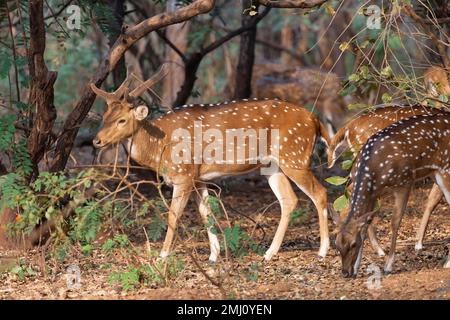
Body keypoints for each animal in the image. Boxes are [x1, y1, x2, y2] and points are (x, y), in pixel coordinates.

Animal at [90, 65, 330, 262]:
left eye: (121, 120)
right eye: (104, 116)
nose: (96, 140)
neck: (160, 147)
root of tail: (315, 120)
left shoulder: (183, 174)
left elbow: (173, 215)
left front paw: (162, 255)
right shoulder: (198, 178)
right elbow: (206, 213)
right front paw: (214, 256)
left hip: (294, 157)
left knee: (320, 192)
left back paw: (322, 251)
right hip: (272, 166)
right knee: (289, 200)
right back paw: (269, 253)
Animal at [336, 111, 450, 276]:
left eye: (353, 244)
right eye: (336, 245)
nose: (345, 273)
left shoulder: (404, 182)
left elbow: (395, 222)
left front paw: (388, 265)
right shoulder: (374, 193)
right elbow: (365, 224)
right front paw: (357, 267)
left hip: (445, 169)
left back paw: (447, 263)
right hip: (436, 173)